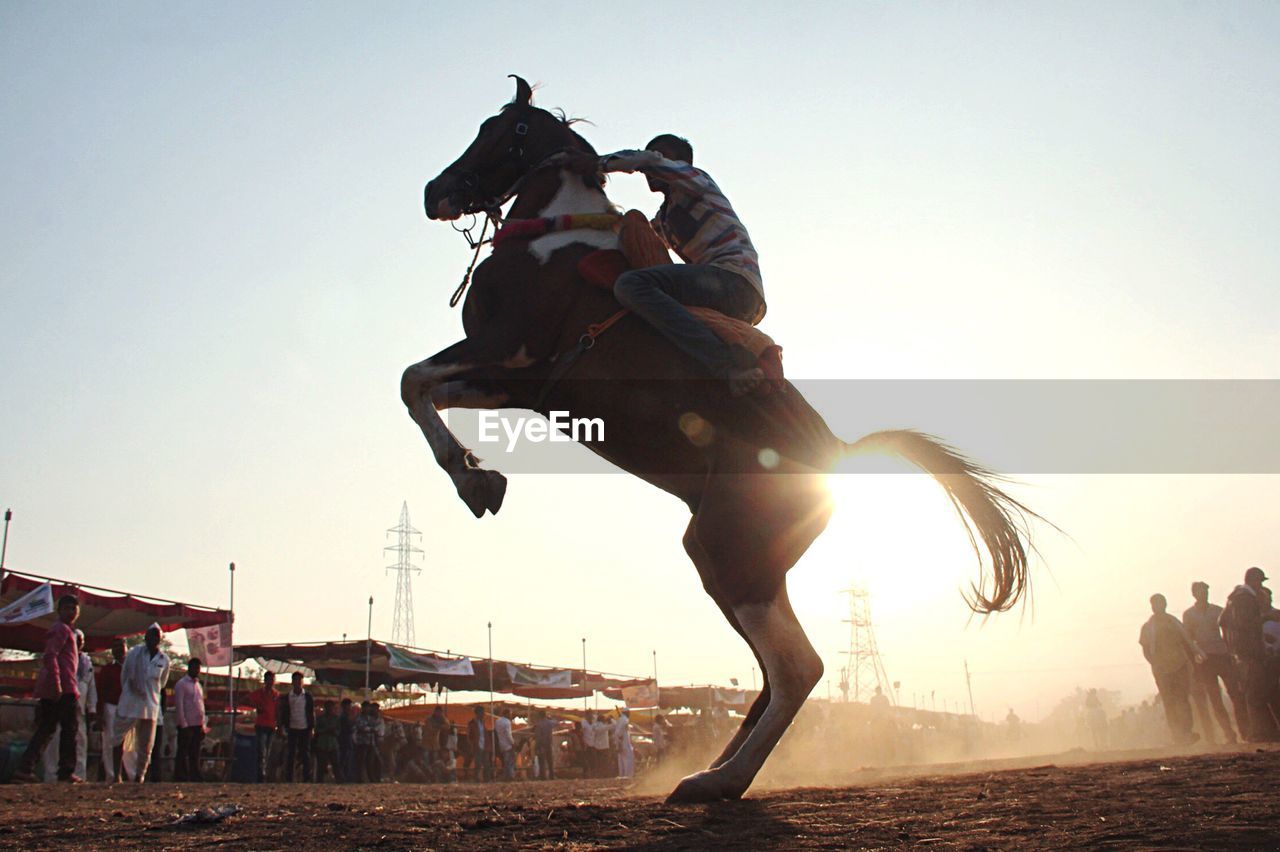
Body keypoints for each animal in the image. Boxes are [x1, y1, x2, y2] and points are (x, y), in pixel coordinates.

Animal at [409, 76, 1039, 798]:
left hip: (730, 551)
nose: (434, 191)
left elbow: (410, 380)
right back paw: (716, 771)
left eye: (494, 130)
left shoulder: (508, 350)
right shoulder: (513, 380)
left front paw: (473, 478)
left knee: (798, 669)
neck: (554, 245)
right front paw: (477, 476)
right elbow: (422, 389)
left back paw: (718, 781)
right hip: (739, 561)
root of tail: (836, 453)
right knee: (773, 676)